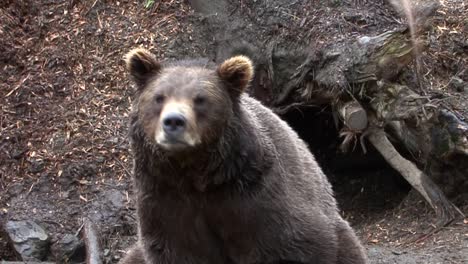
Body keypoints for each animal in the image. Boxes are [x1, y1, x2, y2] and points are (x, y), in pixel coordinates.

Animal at [119, 48, 368, 264]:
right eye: (159, 97)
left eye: (200, 99)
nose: (173, 121)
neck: (197, 174)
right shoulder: (164, 198)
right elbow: (175, 249)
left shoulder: (256, 196)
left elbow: (293, 242)